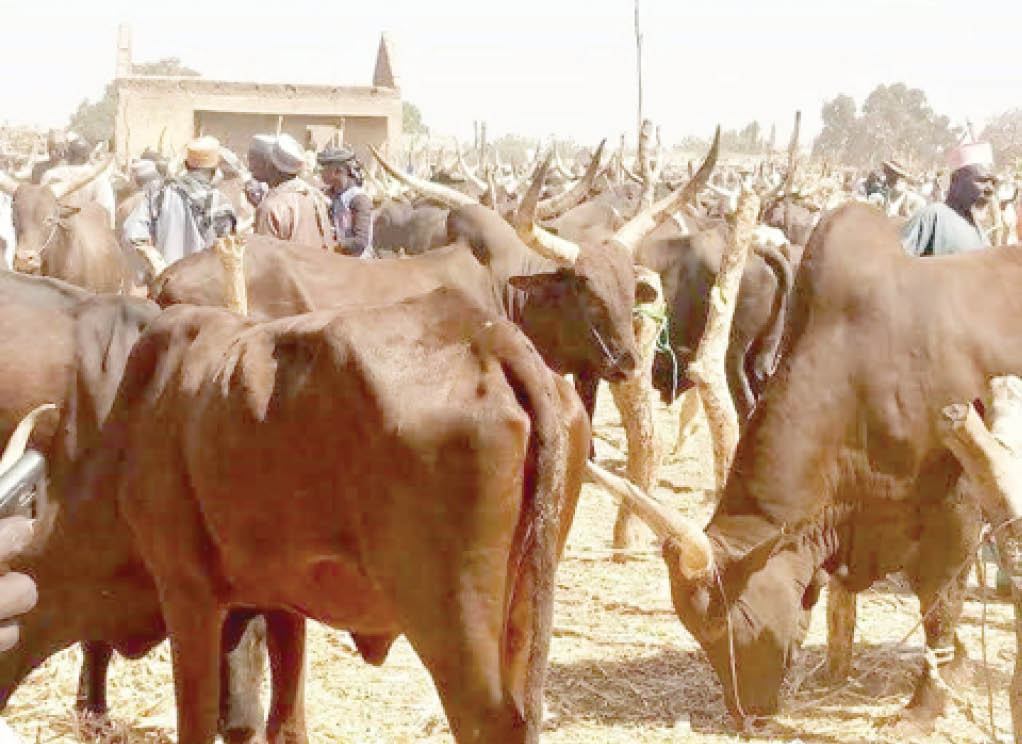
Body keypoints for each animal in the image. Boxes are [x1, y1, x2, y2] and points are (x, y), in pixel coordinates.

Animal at [63, 288, 588, 744]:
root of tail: (489, 337)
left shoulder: (186, 591)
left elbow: (196, 719)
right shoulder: (280, 599)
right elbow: (285, 721)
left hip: (452, 617)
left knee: (488, 721)